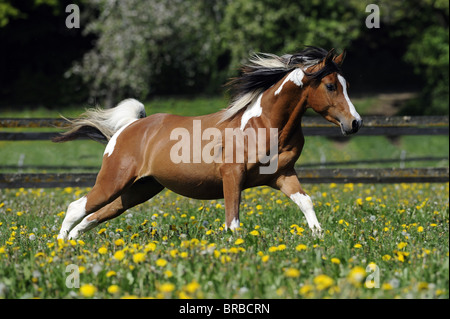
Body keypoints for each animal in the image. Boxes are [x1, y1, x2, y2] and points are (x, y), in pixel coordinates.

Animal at [53, 47, 362, 240]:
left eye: (346, 85)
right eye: (331, 86)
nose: (355, 123)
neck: (262, 125)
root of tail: (126, 128)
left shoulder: (283, 175)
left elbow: (306, 202)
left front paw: (319, 238)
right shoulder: (232, 175)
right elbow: (233, 221)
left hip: (140, 189)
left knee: (95, 215)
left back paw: (73, 241)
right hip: (114, 180)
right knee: (76, 207)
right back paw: (60, 246)